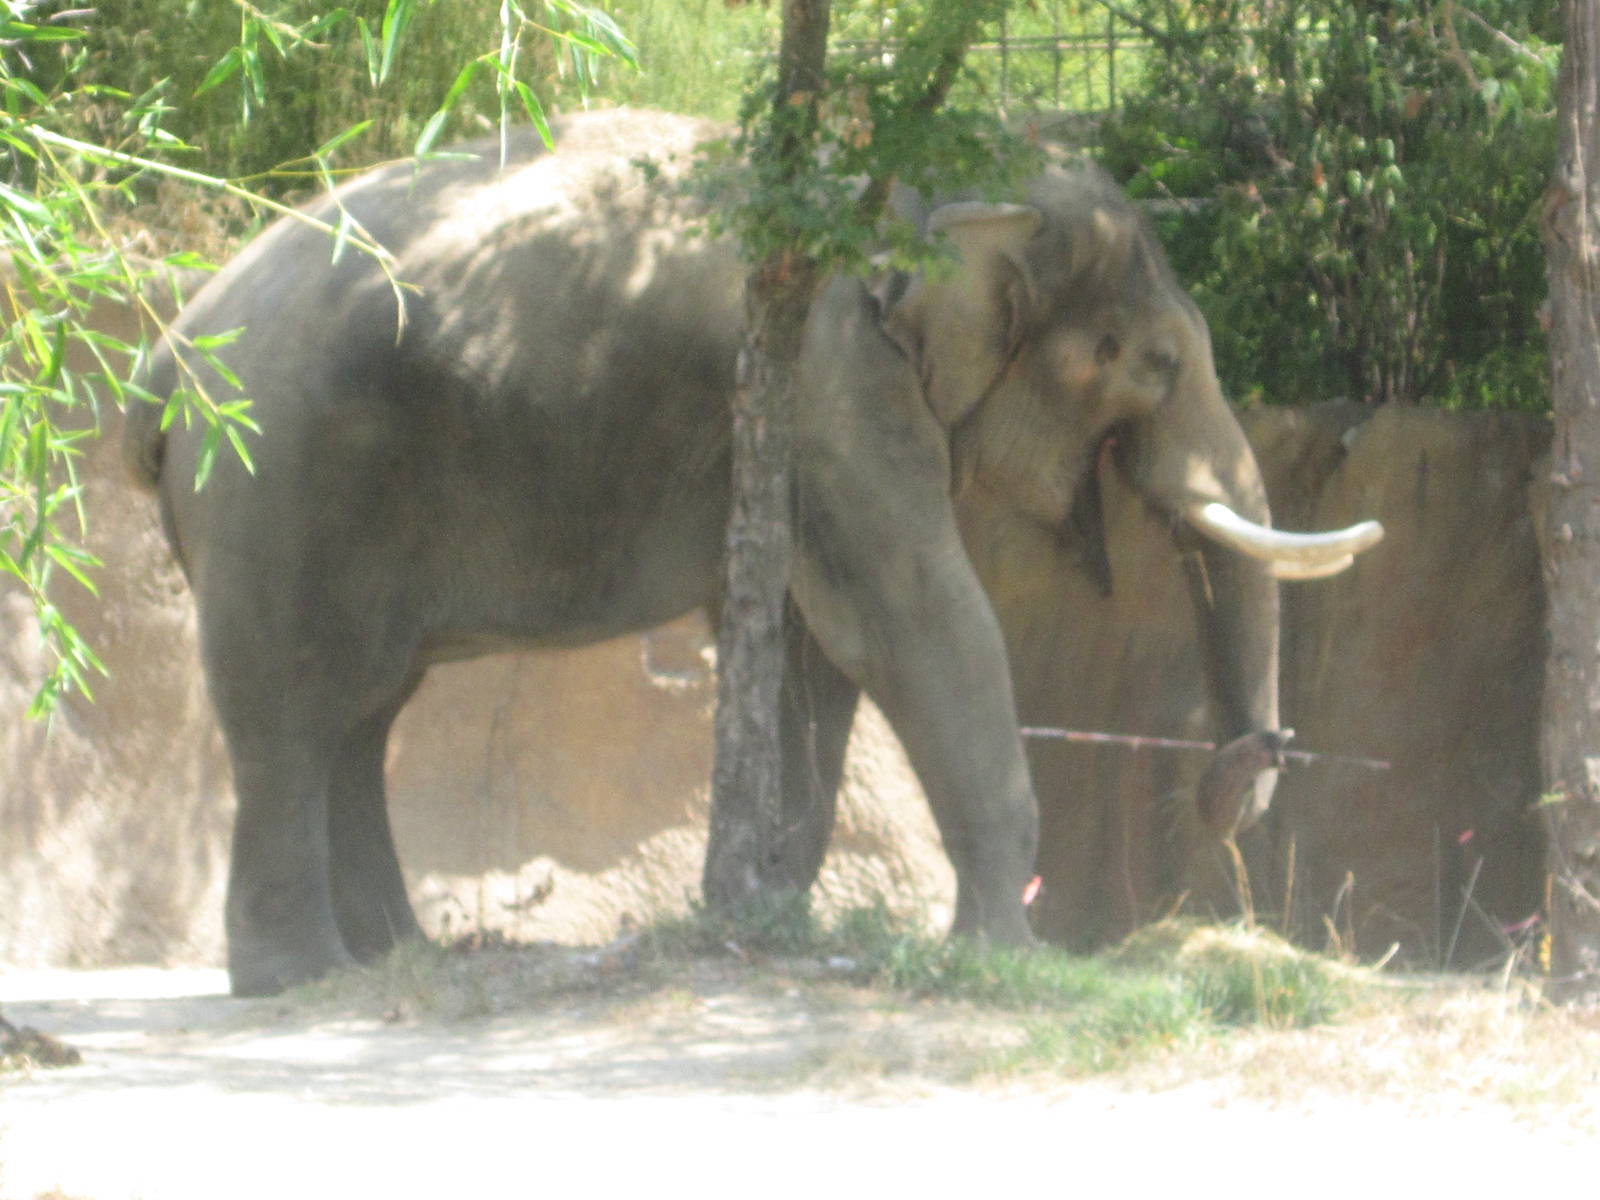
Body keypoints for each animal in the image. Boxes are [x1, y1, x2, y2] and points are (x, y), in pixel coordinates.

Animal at [124, 108, 1382, 996]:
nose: (1238, 772)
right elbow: (912, 618)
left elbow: (799, 648)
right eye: (1149, 360)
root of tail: (169, 348)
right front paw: (1004, 960)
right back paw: (299, 979)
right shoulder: (832, 379)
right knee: (295, 710)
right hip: (274, 484)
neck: (917, 177)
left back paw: (394, 960)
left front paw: (768, 912)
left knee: (363, 713)